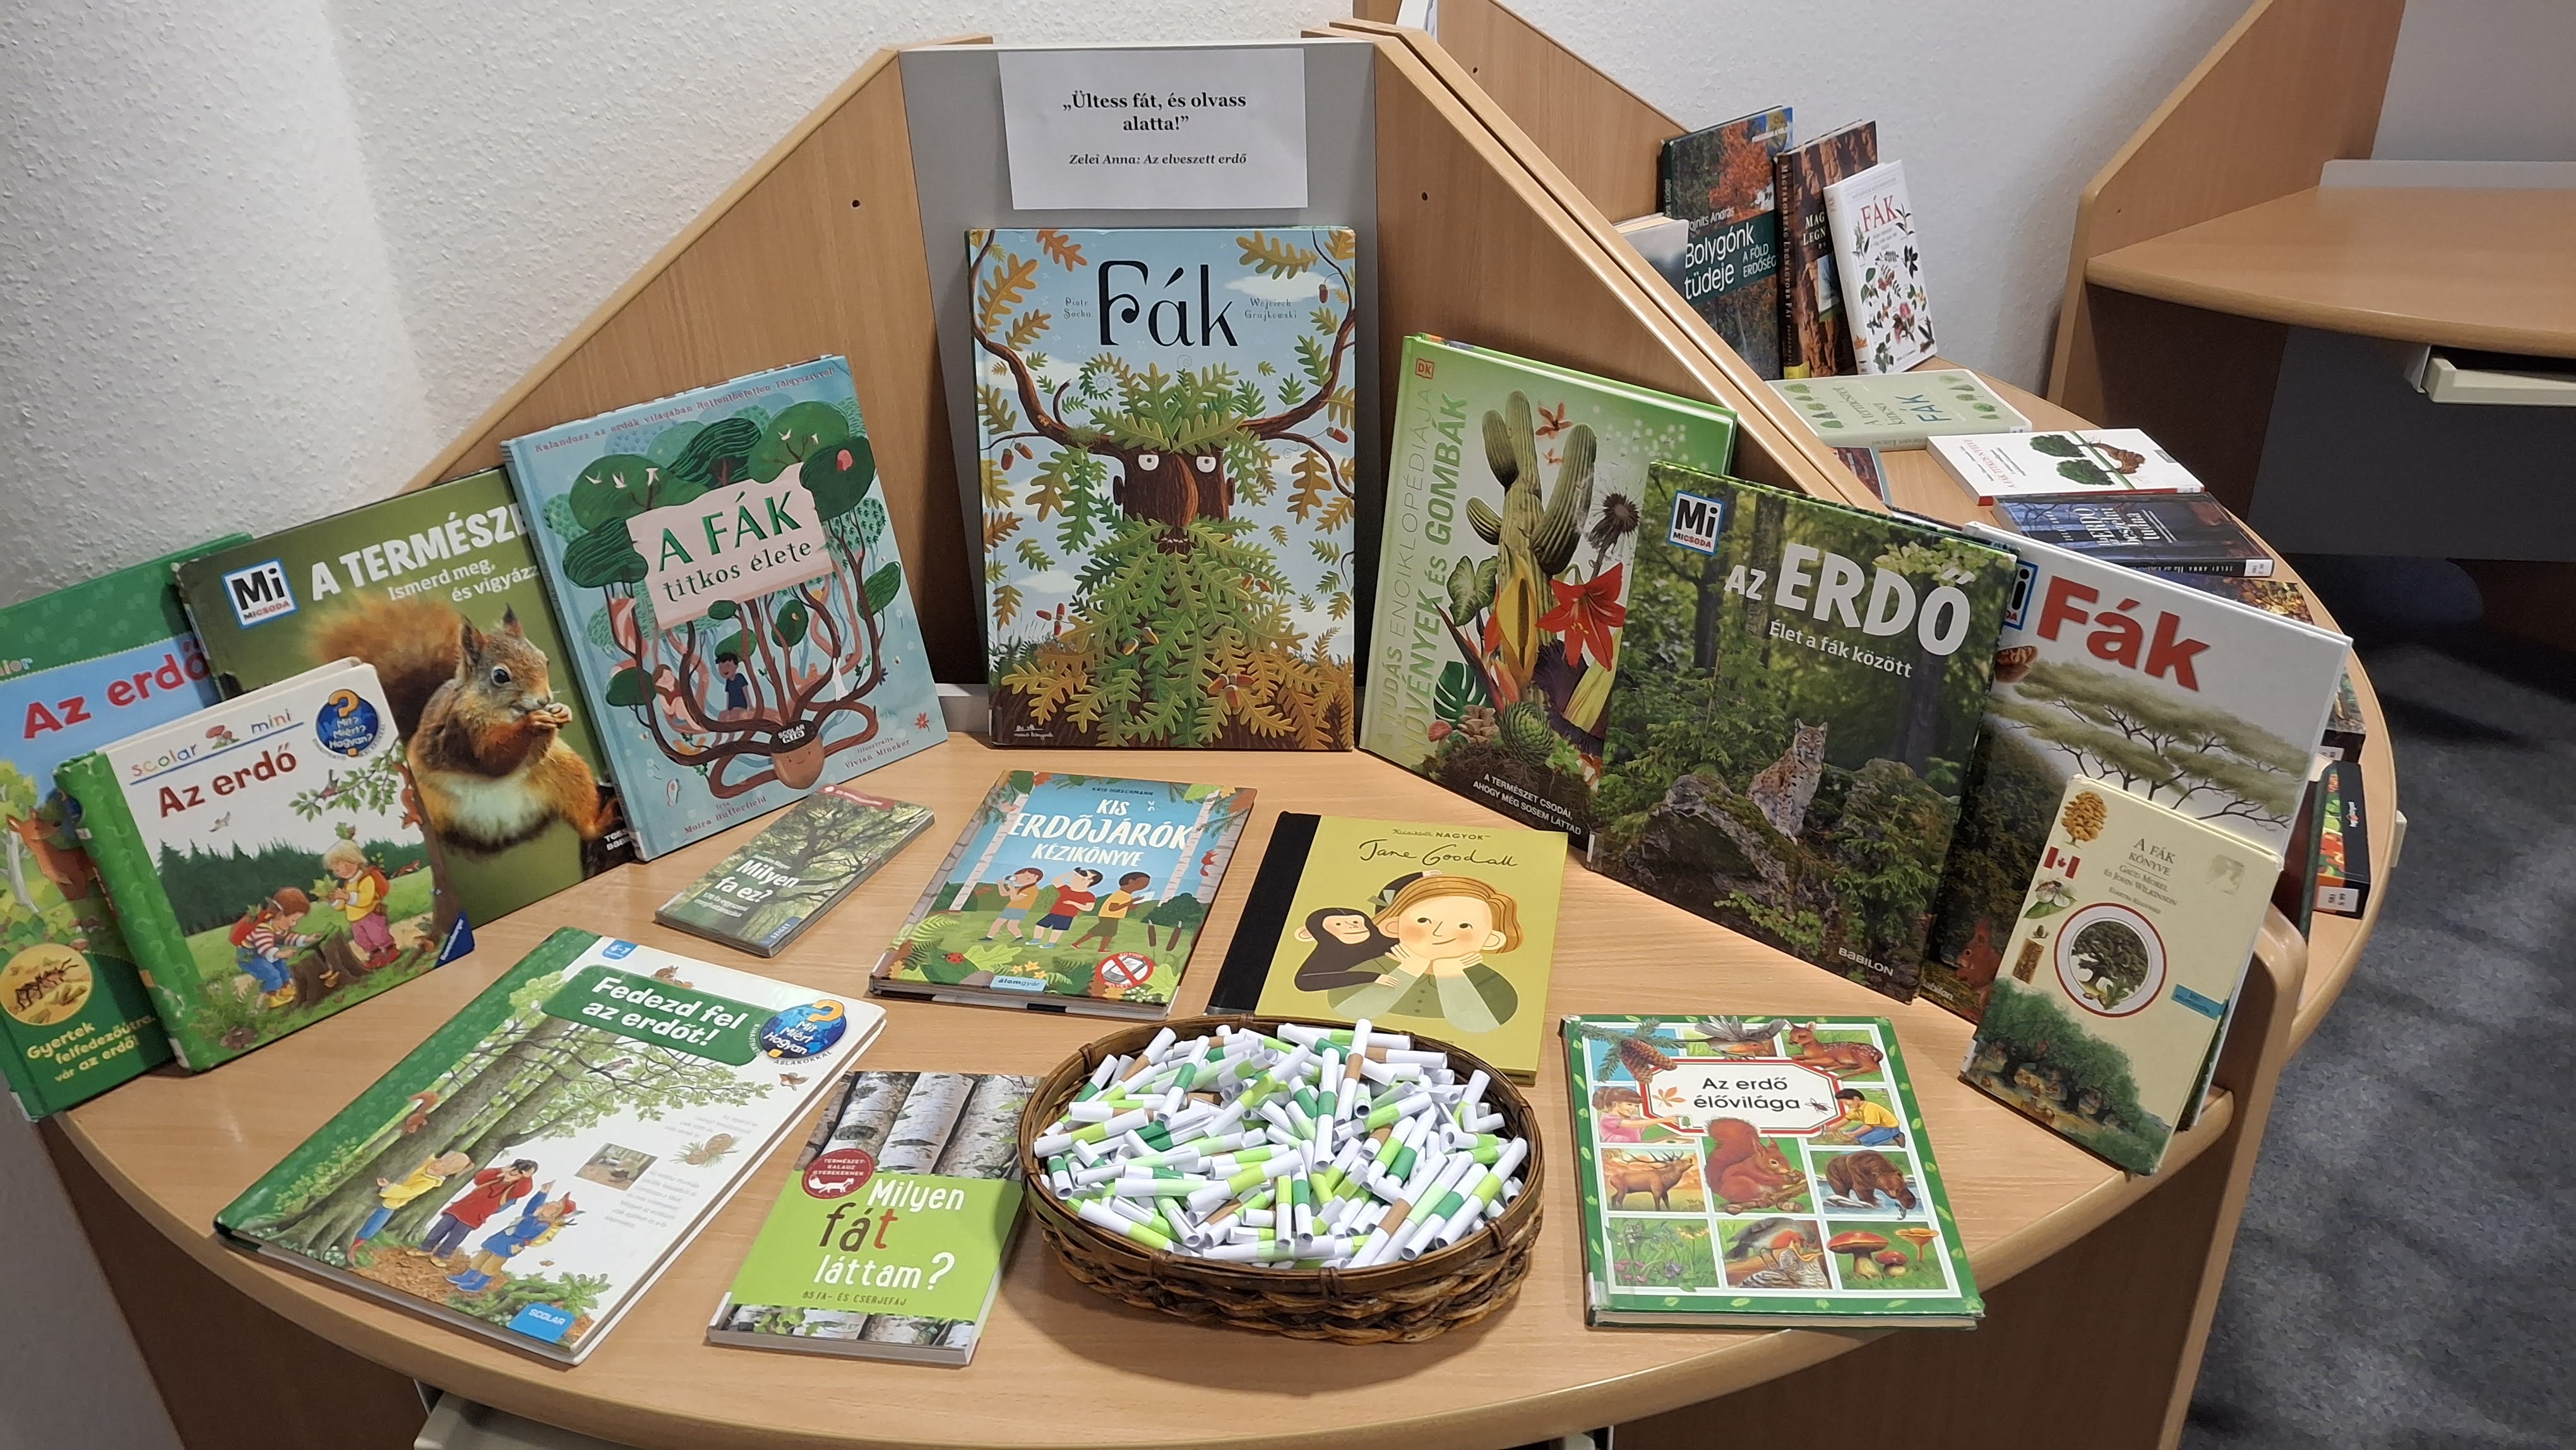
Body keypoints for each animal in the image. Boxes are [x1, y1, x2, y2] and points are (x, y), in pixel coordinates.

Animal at [313, 596, 616, 854]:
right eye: (500, 676)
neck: (502, 711)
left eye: (545, 660)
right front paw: (533, 722)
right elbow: (493, 760)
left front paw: (562, 713)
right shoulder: (460, 731)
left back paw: (603, 819)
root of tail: (503, 832)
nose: (545, 700)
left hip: (566, 771)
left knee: (586, 827)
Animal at [1745, 721, 1828, 837]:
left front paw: (1791, 833)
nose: (1812, 749)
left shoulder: (1807, 794)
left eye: (1817, 741)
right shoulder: (1789, 788)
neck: (1811, 764)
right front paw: (1784, 829)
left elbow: (1798, 815)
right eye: (1806, 739)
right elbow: (1785, 809)